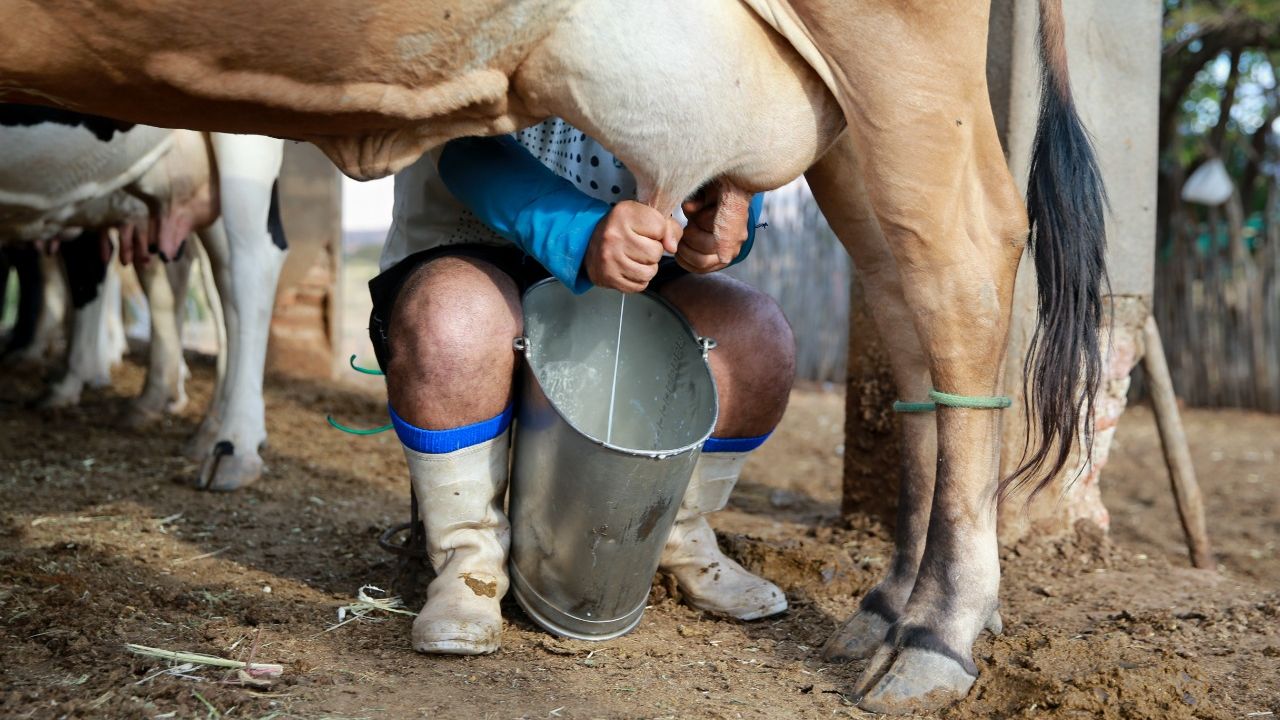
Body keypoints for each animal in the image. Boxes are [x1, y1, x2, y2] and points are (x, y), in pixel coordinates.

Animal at [0, 109, 290, 489]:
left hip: (248, 146)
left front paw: (73, 379)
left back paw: (234, 446)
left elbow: (85, 274)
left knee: (252, 264)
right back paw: (179, 414)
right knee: (207, 277)